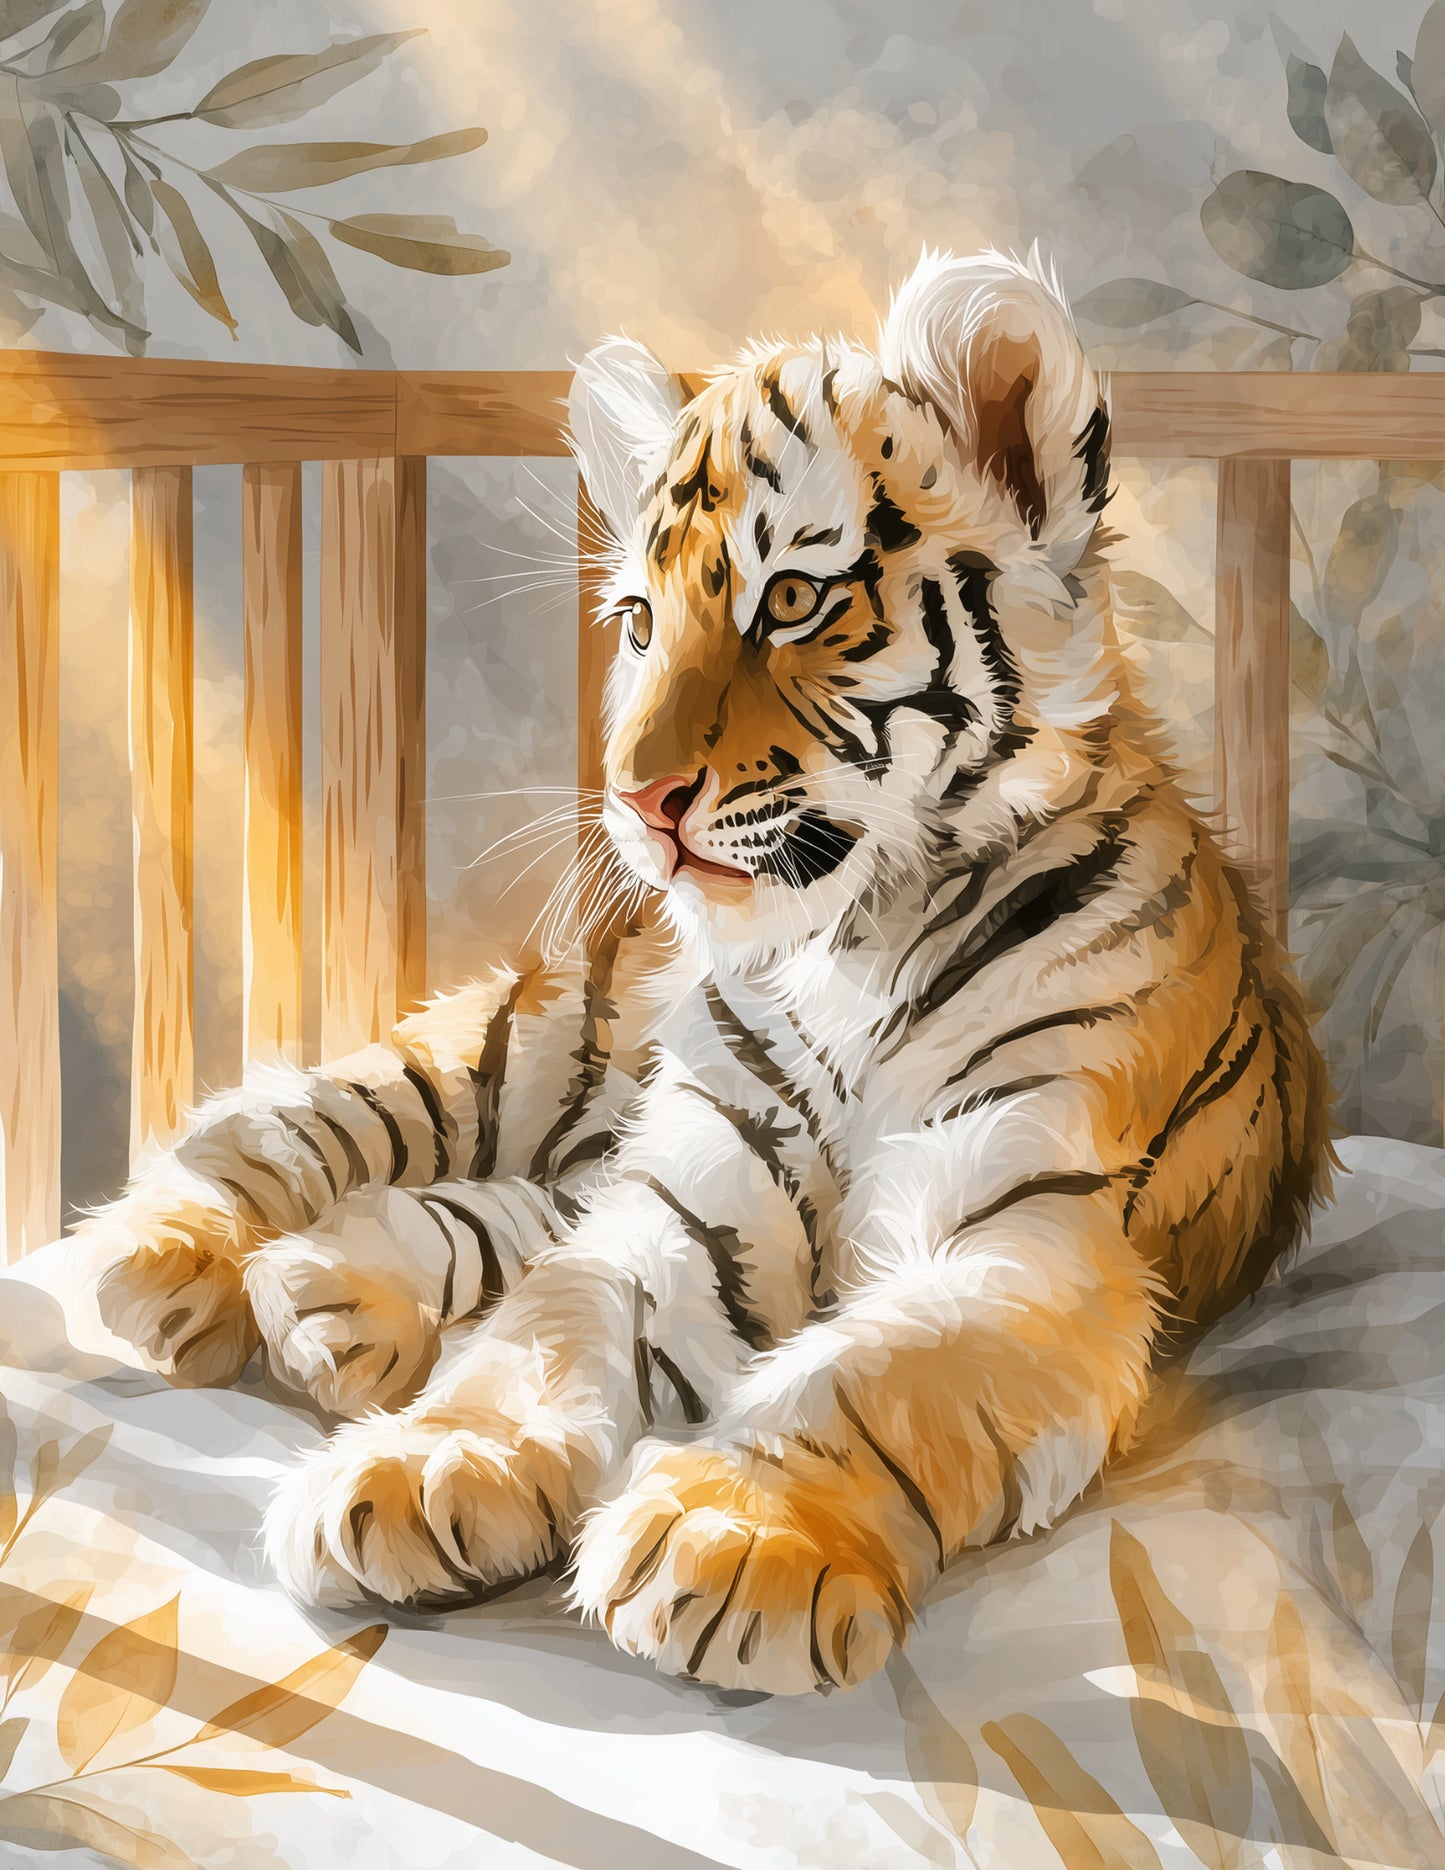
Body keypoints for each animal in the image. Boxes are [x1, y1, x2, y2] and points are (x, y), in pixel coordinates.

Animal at [84, 249, 1332, 1697]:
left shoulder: (1027, 1237)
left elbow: (869, 1374)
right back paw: (168, 1258)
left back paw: (328, 1295)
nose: (633, 796)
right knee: (311, 1119)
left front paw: (732, 1540)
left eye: (790, 599)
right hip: (528, 1045)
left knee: (508, 1206)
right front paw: (429, 1464)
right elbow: (554, 1321)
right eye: (636, 619)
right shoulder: (693, 1193)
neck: (852, 944)